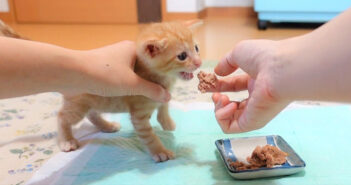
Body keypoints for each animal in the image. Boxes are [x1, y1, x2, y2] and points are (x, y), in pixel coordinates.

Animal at [56, 22, 202, 163]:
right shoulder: (139, 114)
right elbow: (148, 135)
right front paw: (160, 151)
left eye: (196, 48)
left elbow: (164, 106)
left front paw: (167, 123)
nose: (199, 63)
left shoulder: (163, 94)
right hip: (78, 106)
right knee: (62, 116)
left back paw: (107, 126)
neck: (164, 78)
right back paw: (67, 141)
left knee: (92, 114)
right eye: (182, 56)